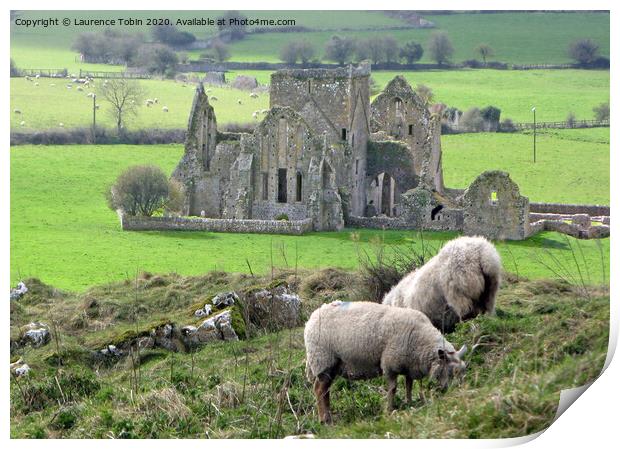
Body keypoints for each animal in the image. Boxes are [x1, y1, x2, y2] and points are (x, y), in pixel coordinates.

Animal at [306, 300, 464, 422]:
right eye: (451, 372)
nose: (458, 392)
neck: (421, 340)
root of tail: (312, 317)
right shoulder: (390, 364)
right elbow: (392, 388)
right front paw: (389, 410)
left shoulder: (408, 364)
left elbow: (409, 385)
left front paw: (410, 403)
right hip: (323, 360)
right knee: (319, 390)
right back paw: (325, 420)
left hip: (332, 364)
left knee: (325, 391)